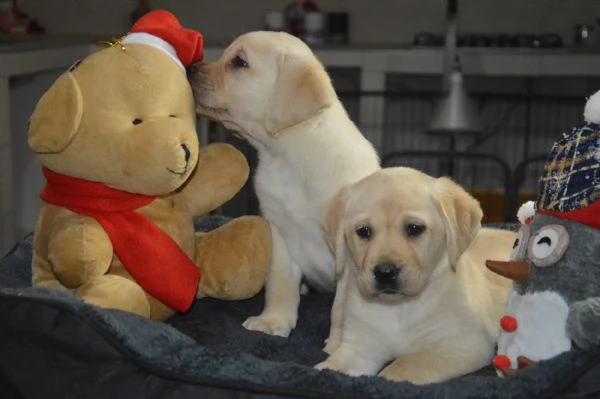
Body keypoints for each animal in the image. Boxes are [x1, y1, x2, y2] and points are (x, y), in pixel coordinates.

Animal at [190, 32, 380, 338]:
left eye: (239, 62)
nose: (191, 68)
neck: (289, 161)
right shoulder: (280, 234)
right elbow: (280, 286)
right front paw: (273, 322)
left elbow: (344, 305)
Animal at [314, 166, 516, 384]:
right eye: (363, 231)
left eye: (414, 229)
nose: (385, 272)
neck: (398, 308)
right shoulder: (359, 347)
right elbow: (332, 366)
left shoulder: (462, 344)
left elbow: (404, 365)